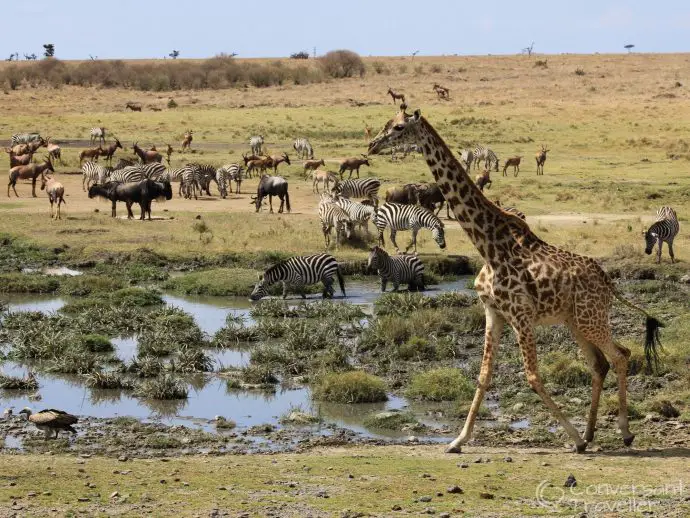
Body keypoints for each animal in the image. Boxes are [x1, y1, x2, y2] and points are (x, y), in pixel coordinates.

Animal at [366, 105, 660, 456]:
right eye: (385, 124)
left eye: (398, 128)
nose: (372, 146)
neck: (489, 247)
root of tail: (606, 279)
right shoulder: (493, 312)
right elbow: (483, 376)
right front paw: (458, 441)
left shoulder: (521, 314)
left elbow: (532, 376)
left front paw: (573, 439)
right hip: (575, 321)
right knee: (599, 364)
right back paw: (591, 434)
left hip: (592, 317)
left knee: (620, 355)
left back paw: (623, 432)